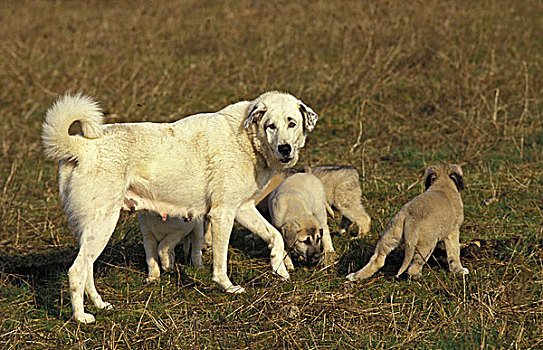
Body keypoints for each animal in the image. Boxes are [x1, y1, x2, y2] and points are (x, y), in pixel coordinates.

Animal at [42, 91, 318, 322]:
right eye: (271, 126)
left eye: (292, 123)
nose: (285, 149)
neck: (247, 139)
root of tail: (82, 146)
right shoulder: (223, 214)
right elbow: (221, 260)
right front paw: (228, 287)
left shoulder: (243, 209)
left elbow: (276, 236)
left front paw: (279, 270)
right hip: (103, 224)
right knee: (76, 271)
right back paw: (81, 318)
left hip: (92, 229)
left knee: (87, 269)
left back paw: (100, 305)